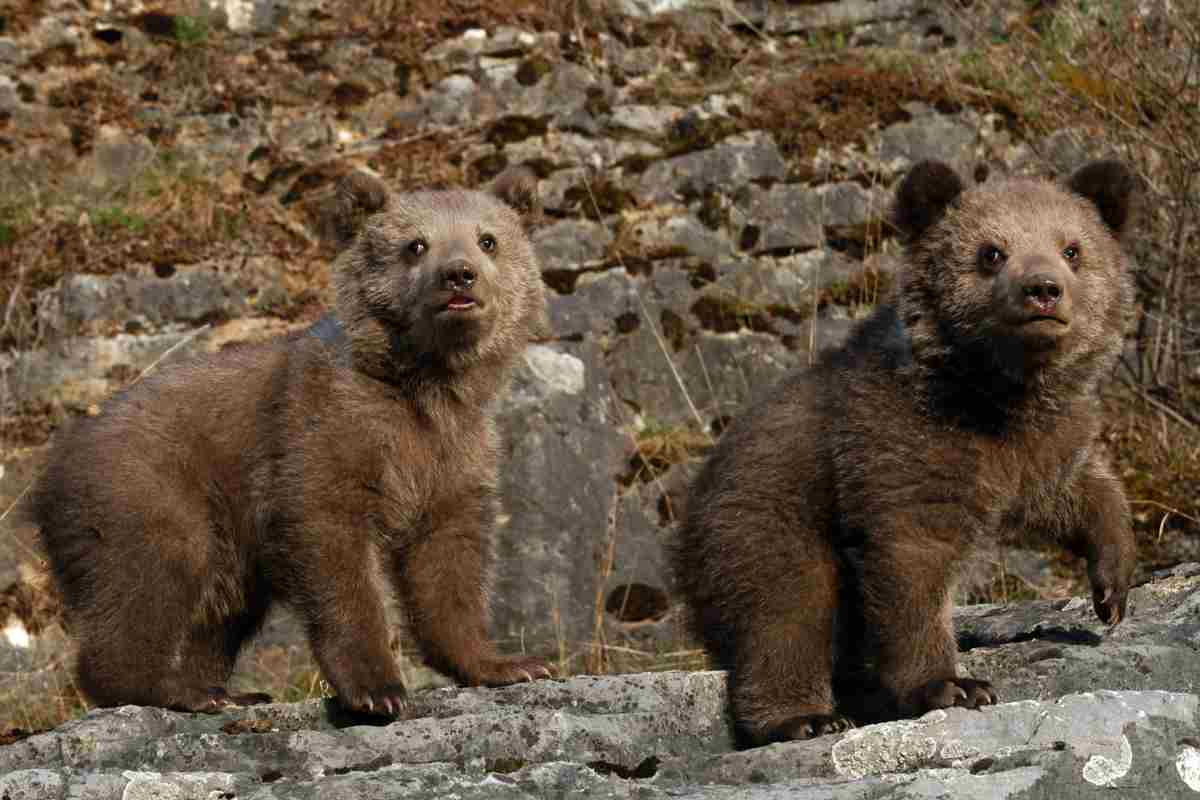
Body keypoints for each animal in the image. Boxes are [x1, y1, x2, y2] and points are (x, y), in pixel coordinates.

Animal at [31, 167, 554, 714]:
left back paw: (228, 689)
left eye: (488, 239)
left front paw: (507, 663)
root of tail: (50, 469)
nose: (458, 275)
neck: (425, 384)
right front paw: (377, 689)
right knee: (150, 578)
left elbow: (449, 564)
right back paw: (174, 689)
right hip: (148, 490)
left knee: (221, 609)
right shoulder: (325, 433)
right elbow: (333, 548)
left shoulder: (452, 455)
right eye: (415, 245)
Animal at [671, 159, 1139, 746]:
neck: (994, 393)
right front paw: (952, 684)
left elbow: (1080, 490)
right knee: (784, 610)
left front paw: (1113, 587)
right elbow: (911, 561)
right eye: (991, 251)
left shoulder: (1044, 442)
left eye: (1073, 248)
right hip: (763, 518)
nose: (1043, 290)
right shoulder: (903, 448)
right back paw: (802, 717)